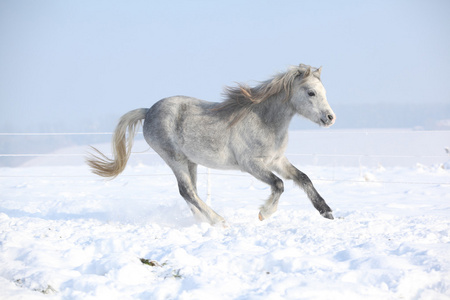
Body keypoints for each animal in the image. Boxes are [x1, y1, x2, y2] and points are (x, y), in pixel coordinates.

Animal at [86, 64, 336, 226]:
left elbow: (303, 178)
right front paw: (264, 213)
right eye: (311, 92)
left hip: (191, 162)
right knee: (186, 191)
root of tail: (148, 111)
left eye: (324, 92)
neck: (263, 120)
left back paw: (202, 221)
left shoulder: (277, 160)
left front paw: (327, 212)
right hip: (174, 158)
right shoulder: (251, 165)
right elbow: (279, 184)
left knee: (191, 193)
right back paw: (218, 221)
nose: (330, 118)